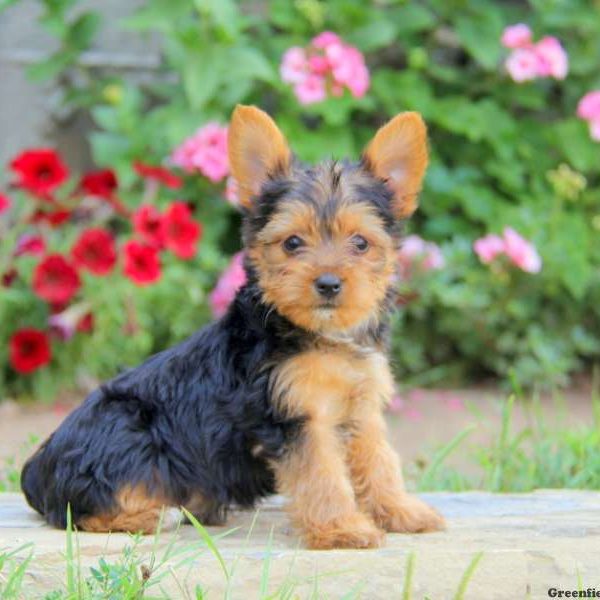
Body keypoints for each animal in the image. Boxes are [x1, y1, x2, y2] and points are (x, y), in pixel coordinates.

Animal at [21, 104, 446, 548]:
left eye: (361, 243)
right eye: (292, 243)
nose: (329, 283)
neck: (320, 334)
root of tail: (36, 473)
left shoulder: (361, 408)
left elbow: (380, 460)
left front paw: (400, 511)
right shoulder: (295, 415)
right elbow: (322, 472)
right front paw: (341, 528)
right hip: (124, 428)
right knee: (82, 509)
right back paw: (155, 514)